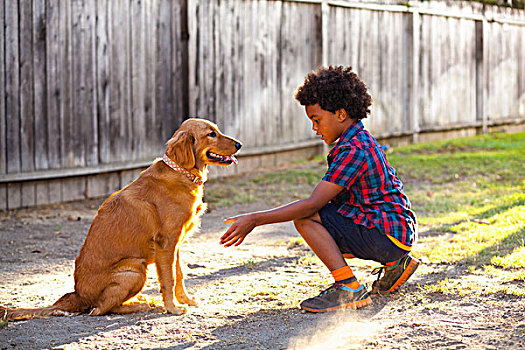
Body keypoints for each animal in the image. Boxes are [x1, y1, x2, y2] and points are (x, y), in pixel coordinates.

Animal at [1, 117, 243, 320]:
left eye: (217, 130)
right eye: (211, 134)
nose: (240, 144)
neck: (180, 173)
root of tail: (77, 294)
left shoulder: (176, 244)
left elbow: (180, 274)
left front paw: (185, 301)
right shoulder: (166, 243)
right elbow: (169, 278)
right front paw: (173, 308)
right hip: (134, 269)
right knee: (100, 309)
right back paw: (141, 304)